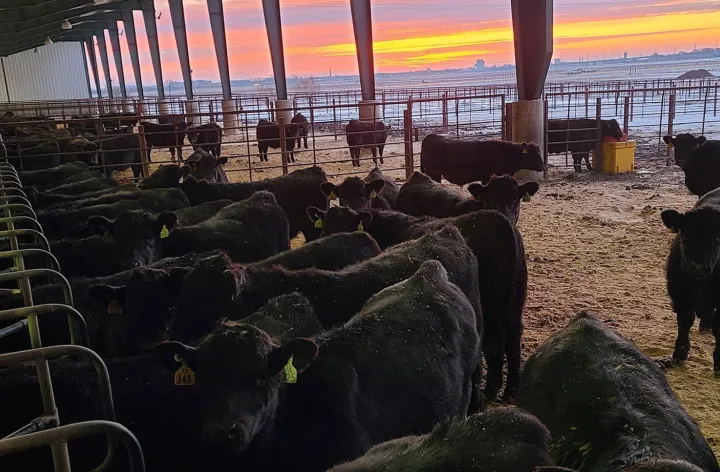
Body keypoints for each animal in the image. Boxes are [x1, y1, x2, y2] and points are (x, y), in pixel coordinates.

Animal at [308, 206, 526, 401]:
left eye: (349, 227)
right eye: (324, 226)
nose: (332, 241)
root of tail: (499, 220)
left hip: (493, 304)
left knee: (495, 341)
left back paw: (492, 389)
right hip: (514, 302)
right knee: (513, 338)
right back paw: (510, 391)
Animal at [661, 188, 720, 373]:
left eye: (718, 239)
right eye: (685, 236)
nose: (699, 267)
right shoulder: (677, 293)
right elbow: (685, 321)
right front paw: (679, 354)